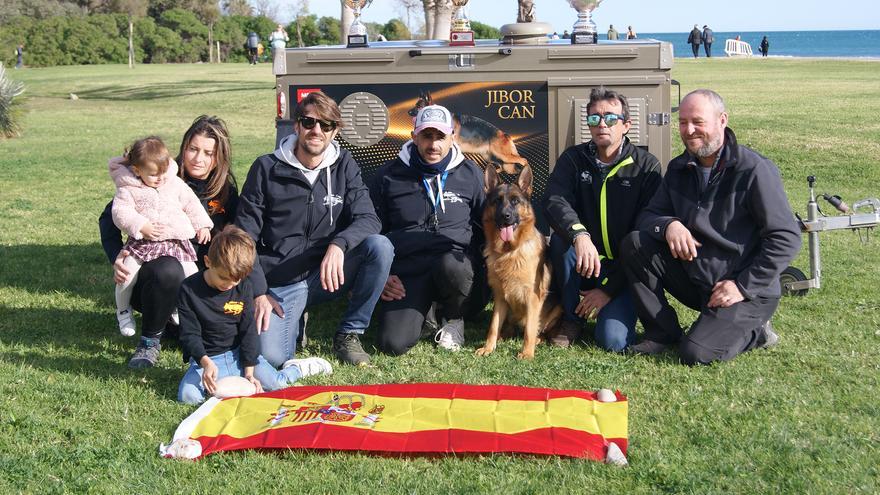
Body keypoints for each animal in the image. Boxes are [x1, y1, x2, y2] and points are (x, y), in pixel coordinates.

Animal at [478, 167, 560, 360]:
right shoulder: (500, 297)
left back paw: (537, 340)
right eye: (497, 201)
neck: (510, 252)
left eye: (515, 201)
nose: (505, 216)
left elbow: (529, 329)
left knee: (539, 331)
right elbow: (493, 326)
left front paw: (527, 353)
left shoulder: (533, 297)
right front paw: (488, 348)